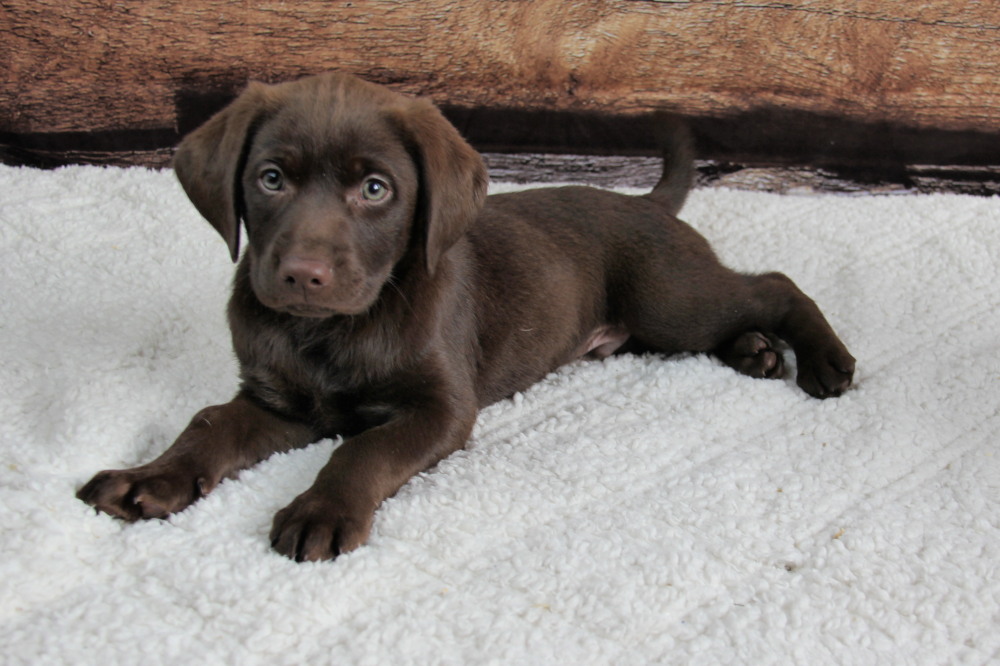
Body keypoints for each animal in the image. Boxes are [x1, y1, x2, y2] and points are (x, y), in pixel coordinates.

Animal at [78, 72, 856, 560]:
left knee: (772, 285)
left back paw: (822, 359)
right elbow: (210, 423)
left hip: (669, 299)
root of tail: (646, 203)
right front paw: (152, 478)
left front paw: (321, 512)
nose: (302, 275)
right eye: (270, 179)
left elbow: (362, 449)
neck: (333, 330)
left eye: (375, 189)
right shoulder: (279, 402)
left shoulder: (441, 409)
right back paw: (755, 350)